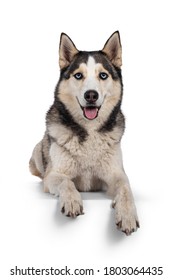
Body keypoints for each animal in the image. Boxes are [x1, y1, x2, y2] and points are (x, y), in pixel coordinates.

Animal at [29, 31, 140, 235]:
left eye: (103, 75)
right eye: (78, 75)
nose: (91, 95)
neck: (90, 132)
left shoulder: (117, 174)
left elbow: (126, 189)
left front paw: (127, 215)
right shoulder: (54, 174)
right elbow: (67, 182)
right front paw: (72, 201)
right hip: (38, 152)